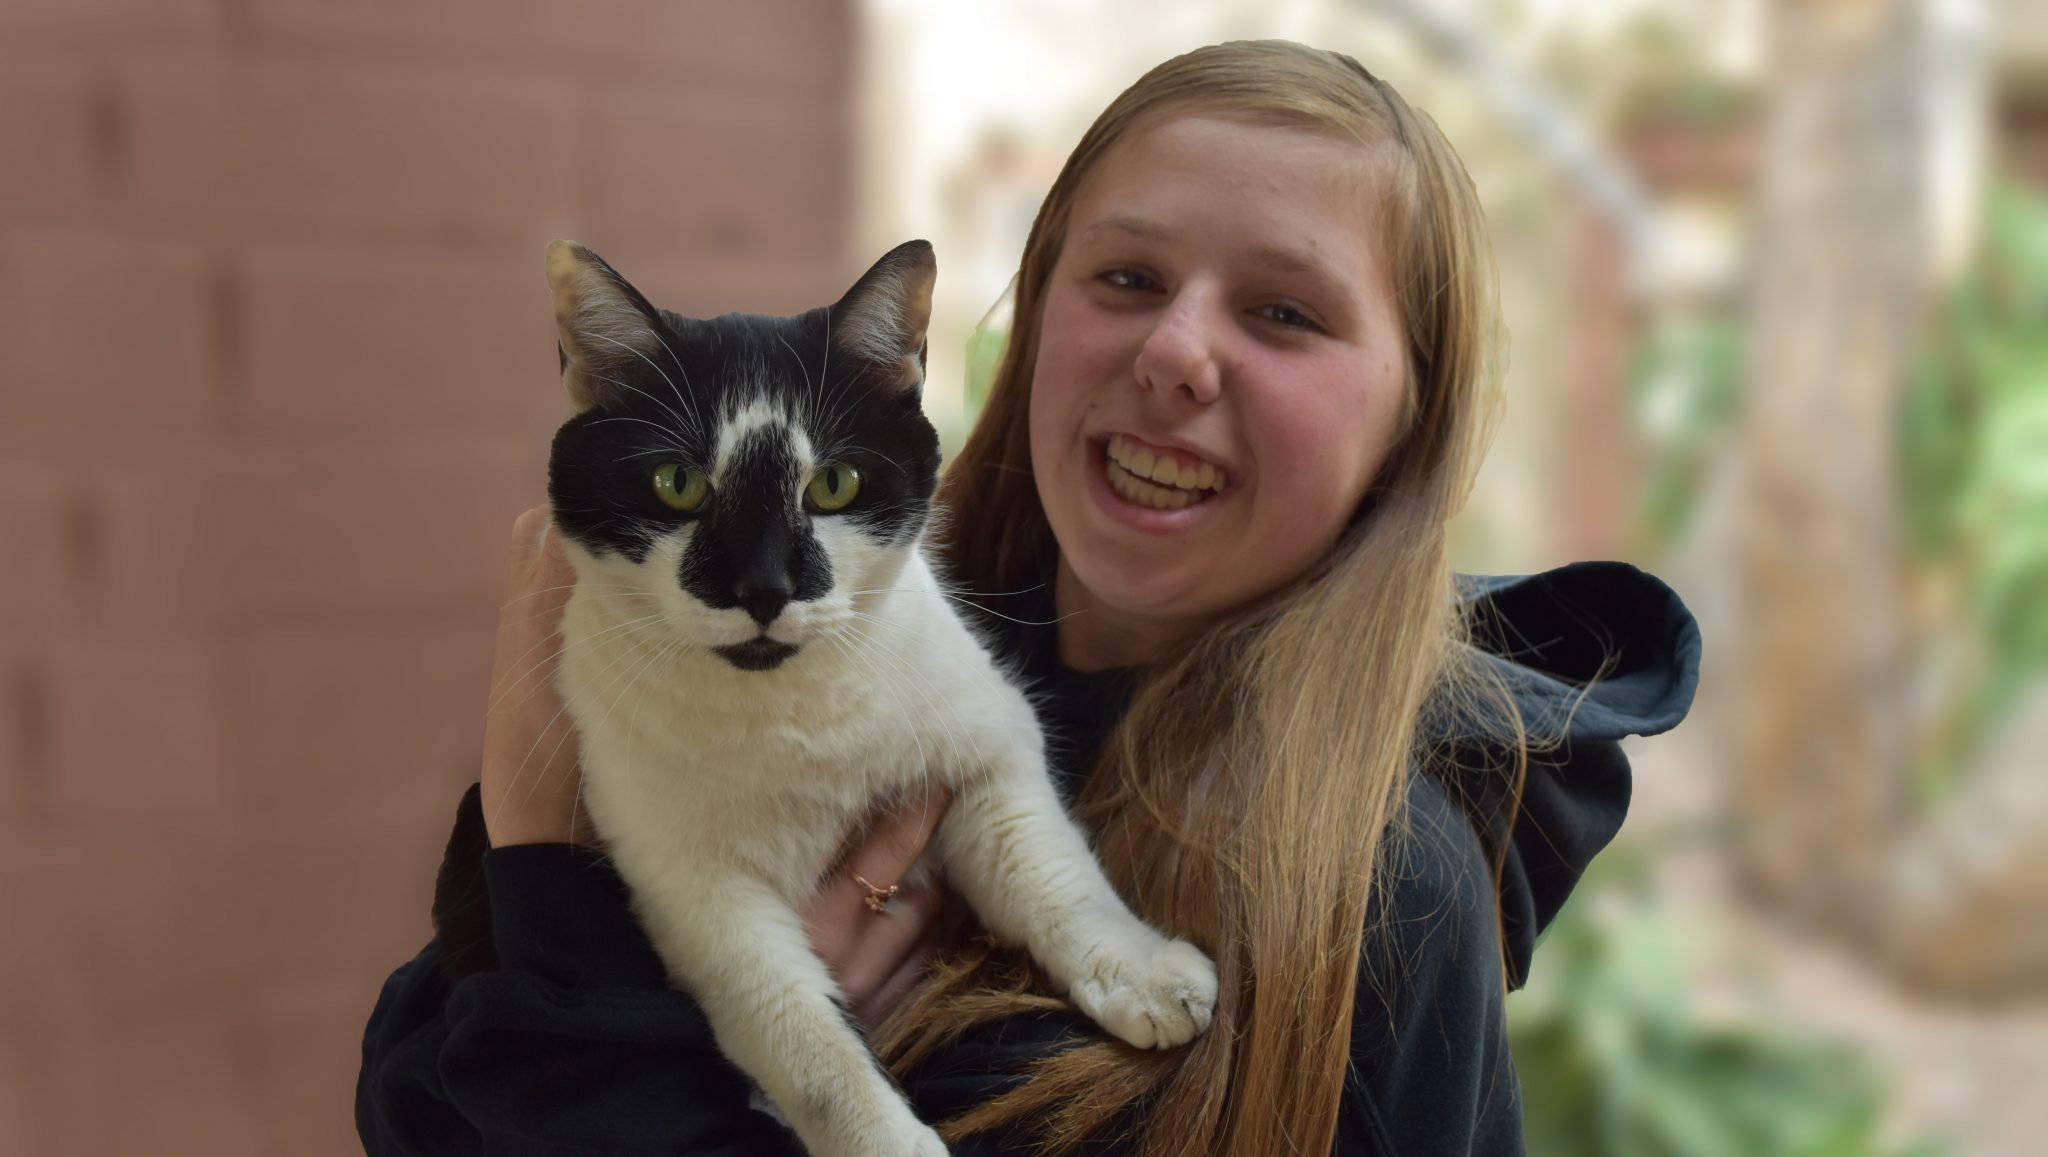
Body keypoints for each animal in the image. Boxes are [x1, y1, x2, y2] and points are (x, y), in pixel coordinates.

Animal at [540, 236, 1212, 1154]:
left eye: (834, 485)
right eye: (677, 483)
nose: (764, 587)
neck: (794, 720)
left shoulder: (991, 754)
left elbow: (1055, 877)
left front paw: (1142, 972)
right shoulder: (697, 896)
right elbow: (811, 1049)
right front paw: (885, 1138)